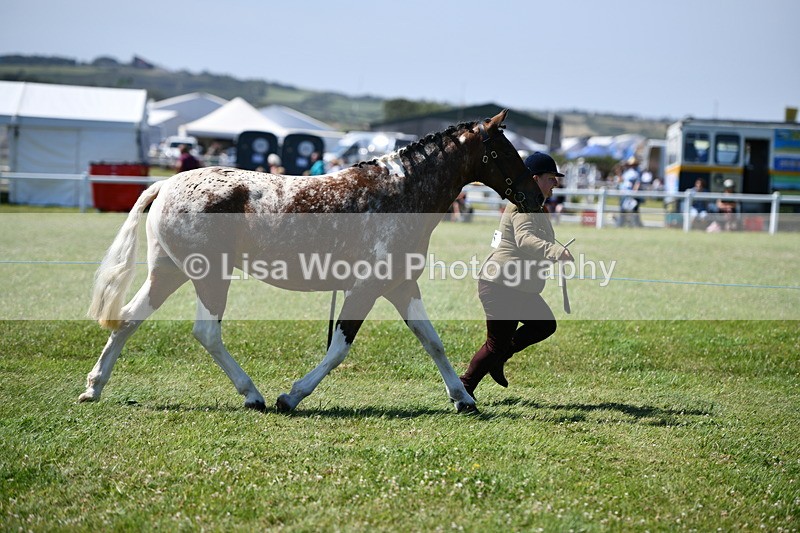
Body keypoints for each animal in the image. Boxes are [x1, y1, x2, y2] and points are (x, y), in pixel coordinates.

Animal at [80, 109, 542, 413]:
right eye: (504, 151)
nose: (537, 197)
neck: (400, 193)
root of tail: (166, 184)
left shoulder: (400, 286)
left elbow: (432, 341)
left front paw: (463, 398)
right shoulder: (365, 287)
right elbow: (339, 347)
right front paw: (292, 395)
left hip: (169, 271)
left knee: (128, 318)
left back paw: (94, 388)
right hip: (209, 276)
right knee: (206, 331)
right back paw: (253, 394)